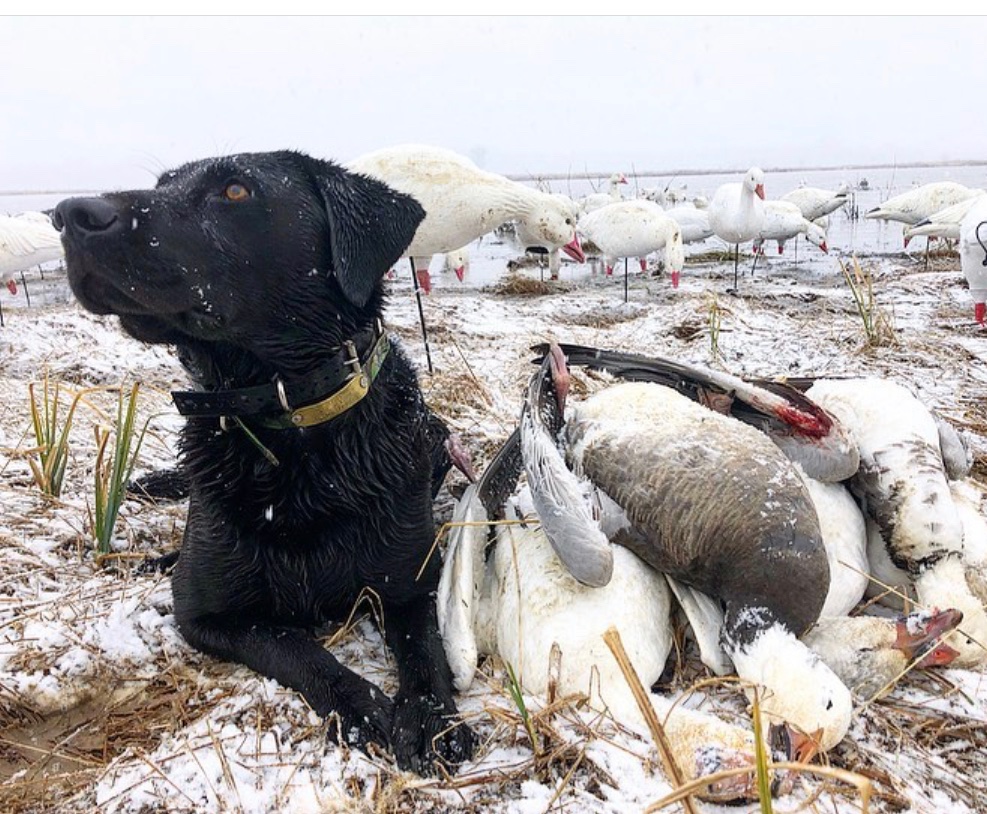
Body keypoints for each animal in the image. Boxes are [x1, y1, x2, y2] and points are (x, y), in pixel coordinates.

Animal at [52, 150, 476, 776]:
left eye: (235, 190)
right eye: (164, 185)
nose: (68, 214)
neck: (286, 419)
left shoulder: (411, 583)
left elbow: (424, 648)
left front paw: (430, 718)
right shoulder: (205, 616)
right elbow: (293, 646)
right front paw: (362, 708)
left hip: (438, 439)